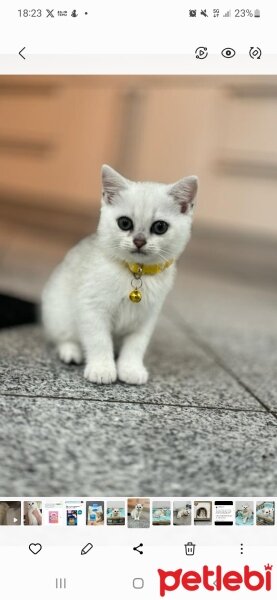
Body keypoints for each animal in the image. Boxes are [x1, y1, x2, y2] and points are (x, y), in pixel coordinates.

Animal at [40, 165, 196, 384]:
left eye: (160, 227)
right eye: (124, 223)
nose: (139, 241)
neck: (135, 271)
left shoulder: (147, 318)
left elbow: (136, 346)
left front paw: (131, 369)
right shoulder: (92, 308)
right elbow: (99, 341)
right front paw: (102, 369)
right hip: (58, 313)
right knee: (63, 337)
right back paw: (71, 352)